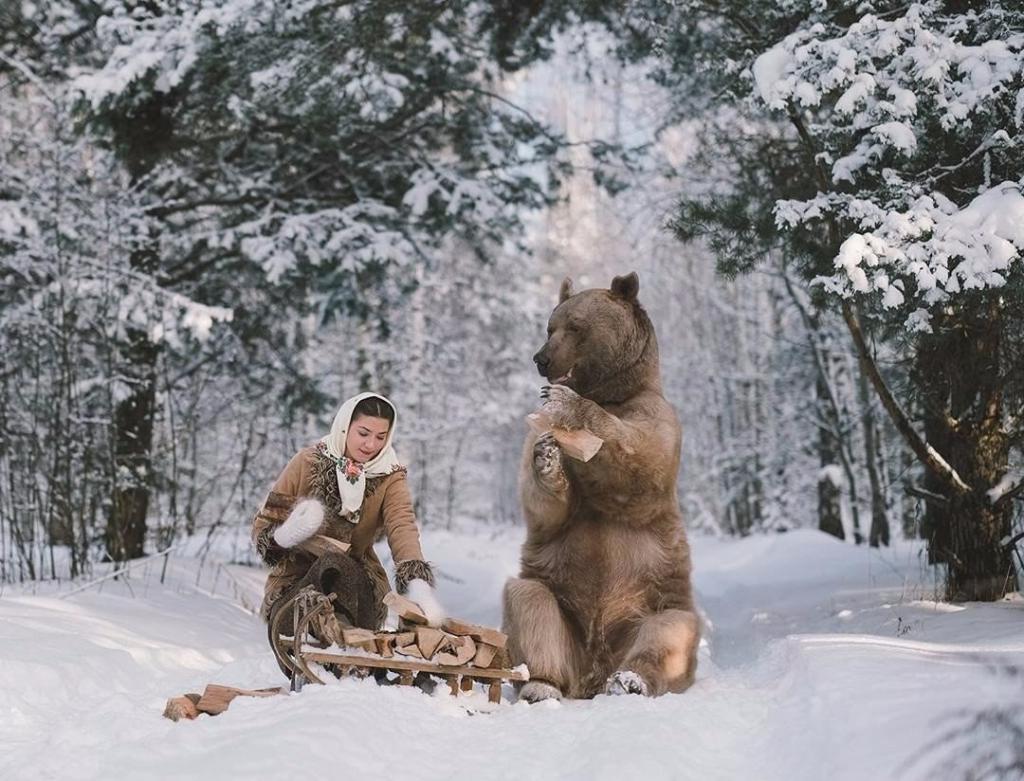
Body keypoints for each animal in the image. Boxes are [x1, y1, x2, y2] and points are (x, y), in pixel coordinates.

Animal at [501, 274, 700, 704]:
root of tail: (593, 670)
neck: (610, 393)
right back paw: (541, 684)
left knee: (669, 631)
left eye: (576, 326)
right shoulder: (533, 434)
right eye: (550, 326)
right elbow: (544, 510)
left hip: (654, 600)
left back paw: (630, 681)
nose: (541, 358)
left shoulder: (656, 416)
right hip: (563, 607)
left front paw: (569, 405)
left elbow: (642, 462)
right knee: (529, 602)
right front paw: (548, 460)